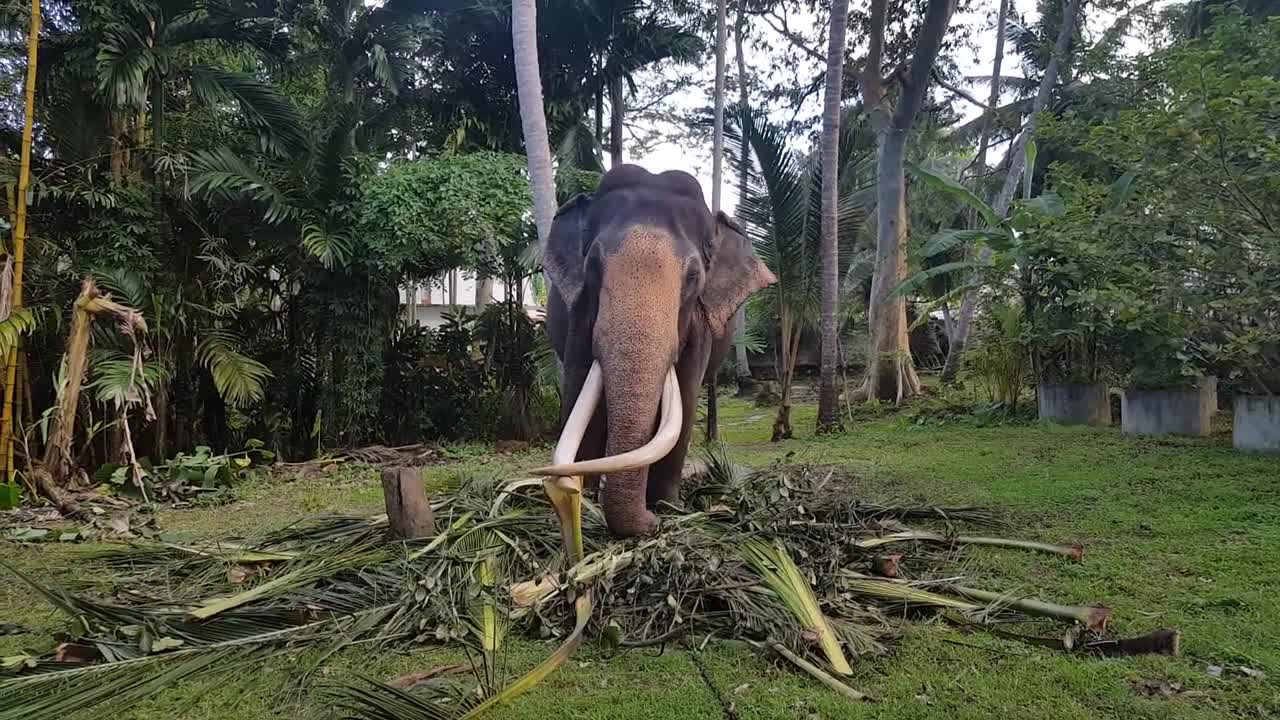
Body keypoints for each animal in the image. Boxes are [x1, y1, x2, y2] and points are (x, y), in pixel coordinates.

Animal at [535, 162, 773, 532]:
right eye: (593, 266)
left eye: (693, 277)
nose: (650, 523)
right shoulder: (579, 313)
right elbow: (577, 389)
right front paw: (586, 499)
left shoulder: (701, 320)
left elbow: (686, 400)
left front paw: (667, 505)